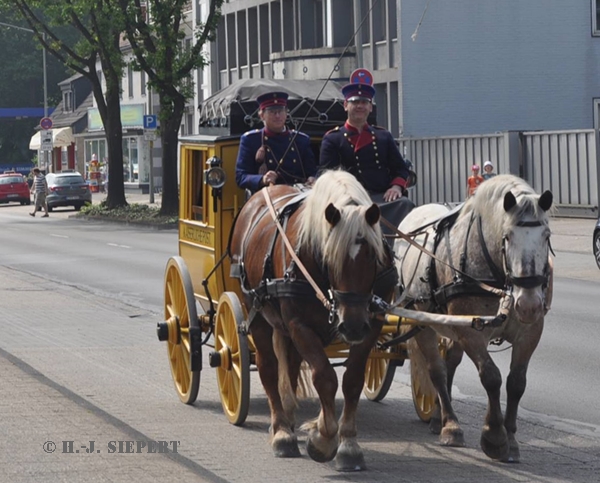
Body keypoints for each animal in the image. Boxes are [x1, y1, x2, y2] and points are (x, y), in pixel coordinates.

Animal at [229, 170, 397, 471]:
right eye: (330, 258)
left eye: (373, 256)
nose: (352, 325)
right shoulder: (301, 326)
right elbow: (325, 377)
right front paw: (323, 438)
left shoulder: (371, 326)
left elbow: (352, 380)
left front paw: (348, 444)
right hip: (256, 312)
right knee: (269, 368)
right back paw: (281, 432)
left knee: (291, 366)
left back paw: (288, 419)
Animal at [394, 174, 553, 462]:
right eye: (507, 236)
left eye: (546, 236)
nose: (528, 304)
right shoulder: (471, 331)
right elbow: (491, 377)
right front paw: (495, 436)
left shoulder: (530, 331)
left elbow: (516, 383)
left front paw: (511, 440)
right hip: (423, 321)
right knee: (436, 370)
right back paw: (451, 425)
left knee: (450, 363)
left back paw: (438, 417)